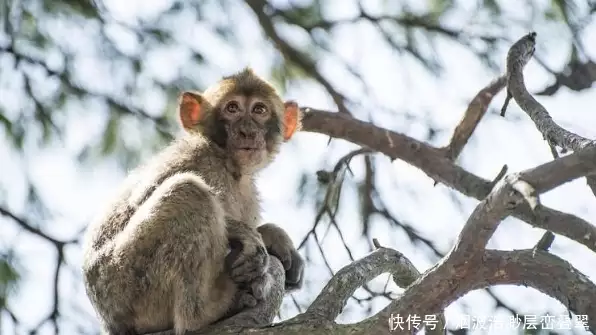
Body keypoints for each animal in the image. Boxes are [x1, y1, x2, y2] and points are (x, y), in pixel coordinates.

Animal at [81, 69, 304, 335]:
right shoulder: (196, 156)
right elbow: (141, 200)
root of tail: (110, 323)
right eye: (232, 108)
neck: (229, 164)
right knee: (189, 192)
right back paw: (207, 312)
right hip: (126, 284)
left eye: (259, 110)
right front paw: (246, 234)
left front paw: (274, 236)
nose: (247, 131)